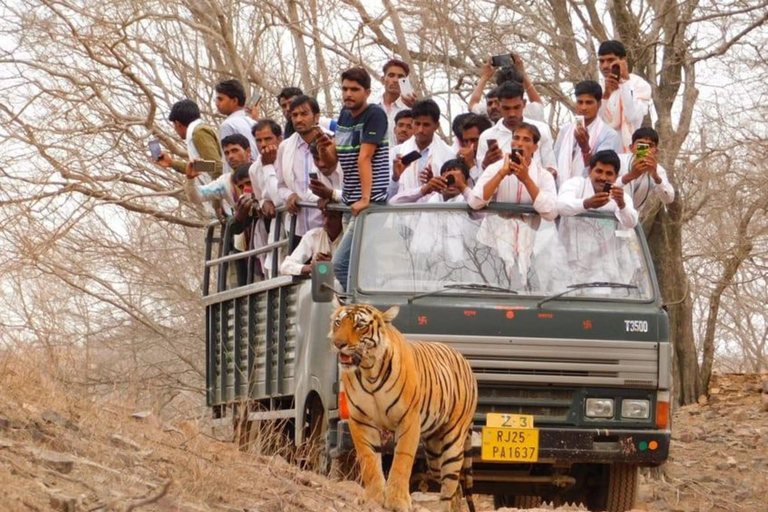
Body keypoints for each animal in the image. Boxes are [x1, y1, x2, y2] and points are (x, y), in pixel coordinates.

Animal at [330, 300, 478, 512]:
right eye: (338, 323)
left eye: (359, 325)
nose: (338, 344)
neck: (369, 371)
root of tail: (463, 358)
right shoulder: (360, 420)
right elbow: (369, 460)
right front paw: (373, 498)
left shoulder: (408, 419)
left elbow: (402, 459)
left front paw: (396, 501)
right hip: (435, 453)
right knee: (455, 486)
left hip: (453, 441)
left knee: (450, 485)